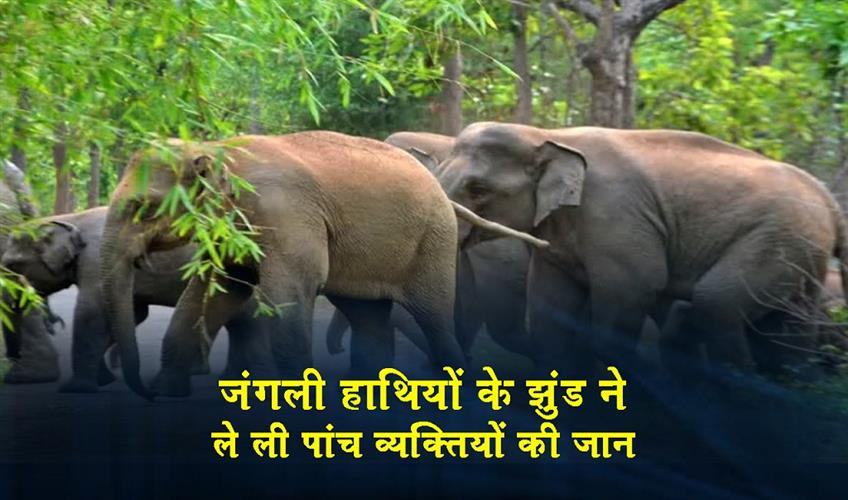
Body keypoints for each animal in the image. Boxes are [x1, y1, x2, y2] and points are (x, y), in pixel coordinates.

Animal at [1, 206, 275, 393]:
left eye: (12, 265)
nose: (10, 374)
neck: (71, 218)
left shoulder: (95, 260)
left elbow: (92, 311)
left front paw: (74, 389)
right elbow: (132, 314)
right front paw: (104, 380)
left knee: (246, 319)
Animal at [438, 122, 848, 377]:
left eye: (478, 189)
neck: (547, 134)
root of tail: (829, 200)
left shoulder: (616, 216)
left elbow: (634, 288)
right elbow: (549, 306)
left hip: (779, 237)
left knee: (718, 302)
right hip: (800, 254)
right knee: (789, 327)